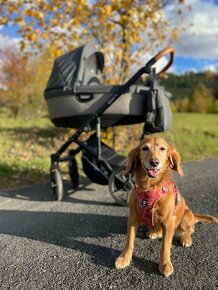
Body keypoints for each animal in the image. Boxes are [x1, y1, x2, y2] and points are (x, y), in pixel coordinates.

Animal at [115, 136, 217, 276]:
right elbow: (129, 241)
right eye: (144, 148)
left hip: (186, 218)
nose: (154, 162)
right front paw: (124, 258)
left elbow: (165, 247)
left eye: (162, 149)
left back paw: (186, 239)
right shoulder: (133, 217)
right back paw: (154, 232)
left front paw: (165, 264)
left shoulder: (169, 221)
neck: (150, 187)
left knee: (189, 230)